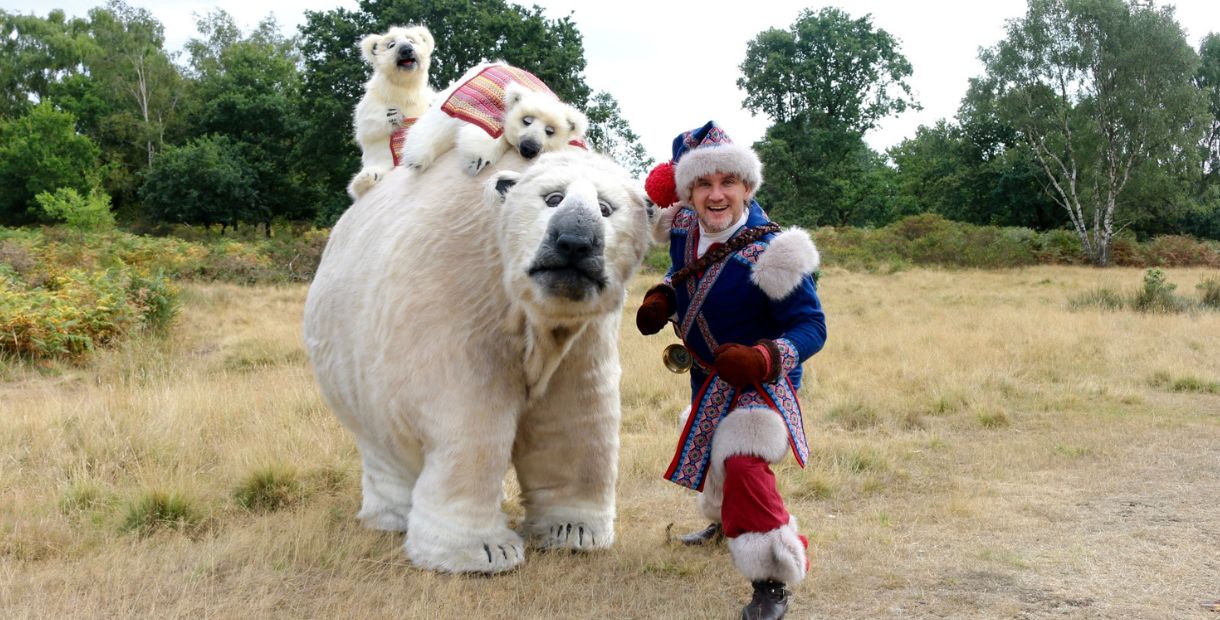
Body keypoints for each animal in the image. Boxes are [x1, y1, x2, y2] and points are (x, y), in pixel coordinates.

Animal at [303, 148, 661, 573]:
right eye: (553, 198)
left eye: (606, 208)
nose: (574, 243)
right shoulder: (460, 294)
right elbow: (471, 418)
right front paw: (483, 551)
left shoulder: (586, 335)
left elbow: (574, 418)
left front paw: (574, 531)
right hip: (354, 363)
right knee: (384, 445)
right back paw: (392, 517)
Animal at [347, 25, 435, 200]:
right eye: (391, 45)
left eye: (411, 40)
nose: (406, 50)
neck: (404, 92)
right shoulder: (373, 99)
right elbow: (366, 126)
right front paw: (393, 115)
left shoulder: (424, 98)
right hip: (380, 163)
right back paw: (366, 178)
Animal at [399, 61, 588, 177]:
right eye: (527, 120)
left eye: (550, 131)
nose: (529, 148)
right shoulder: (484, 105)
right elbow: (485, 130)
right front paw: (476, 160)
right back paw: (416, 157)